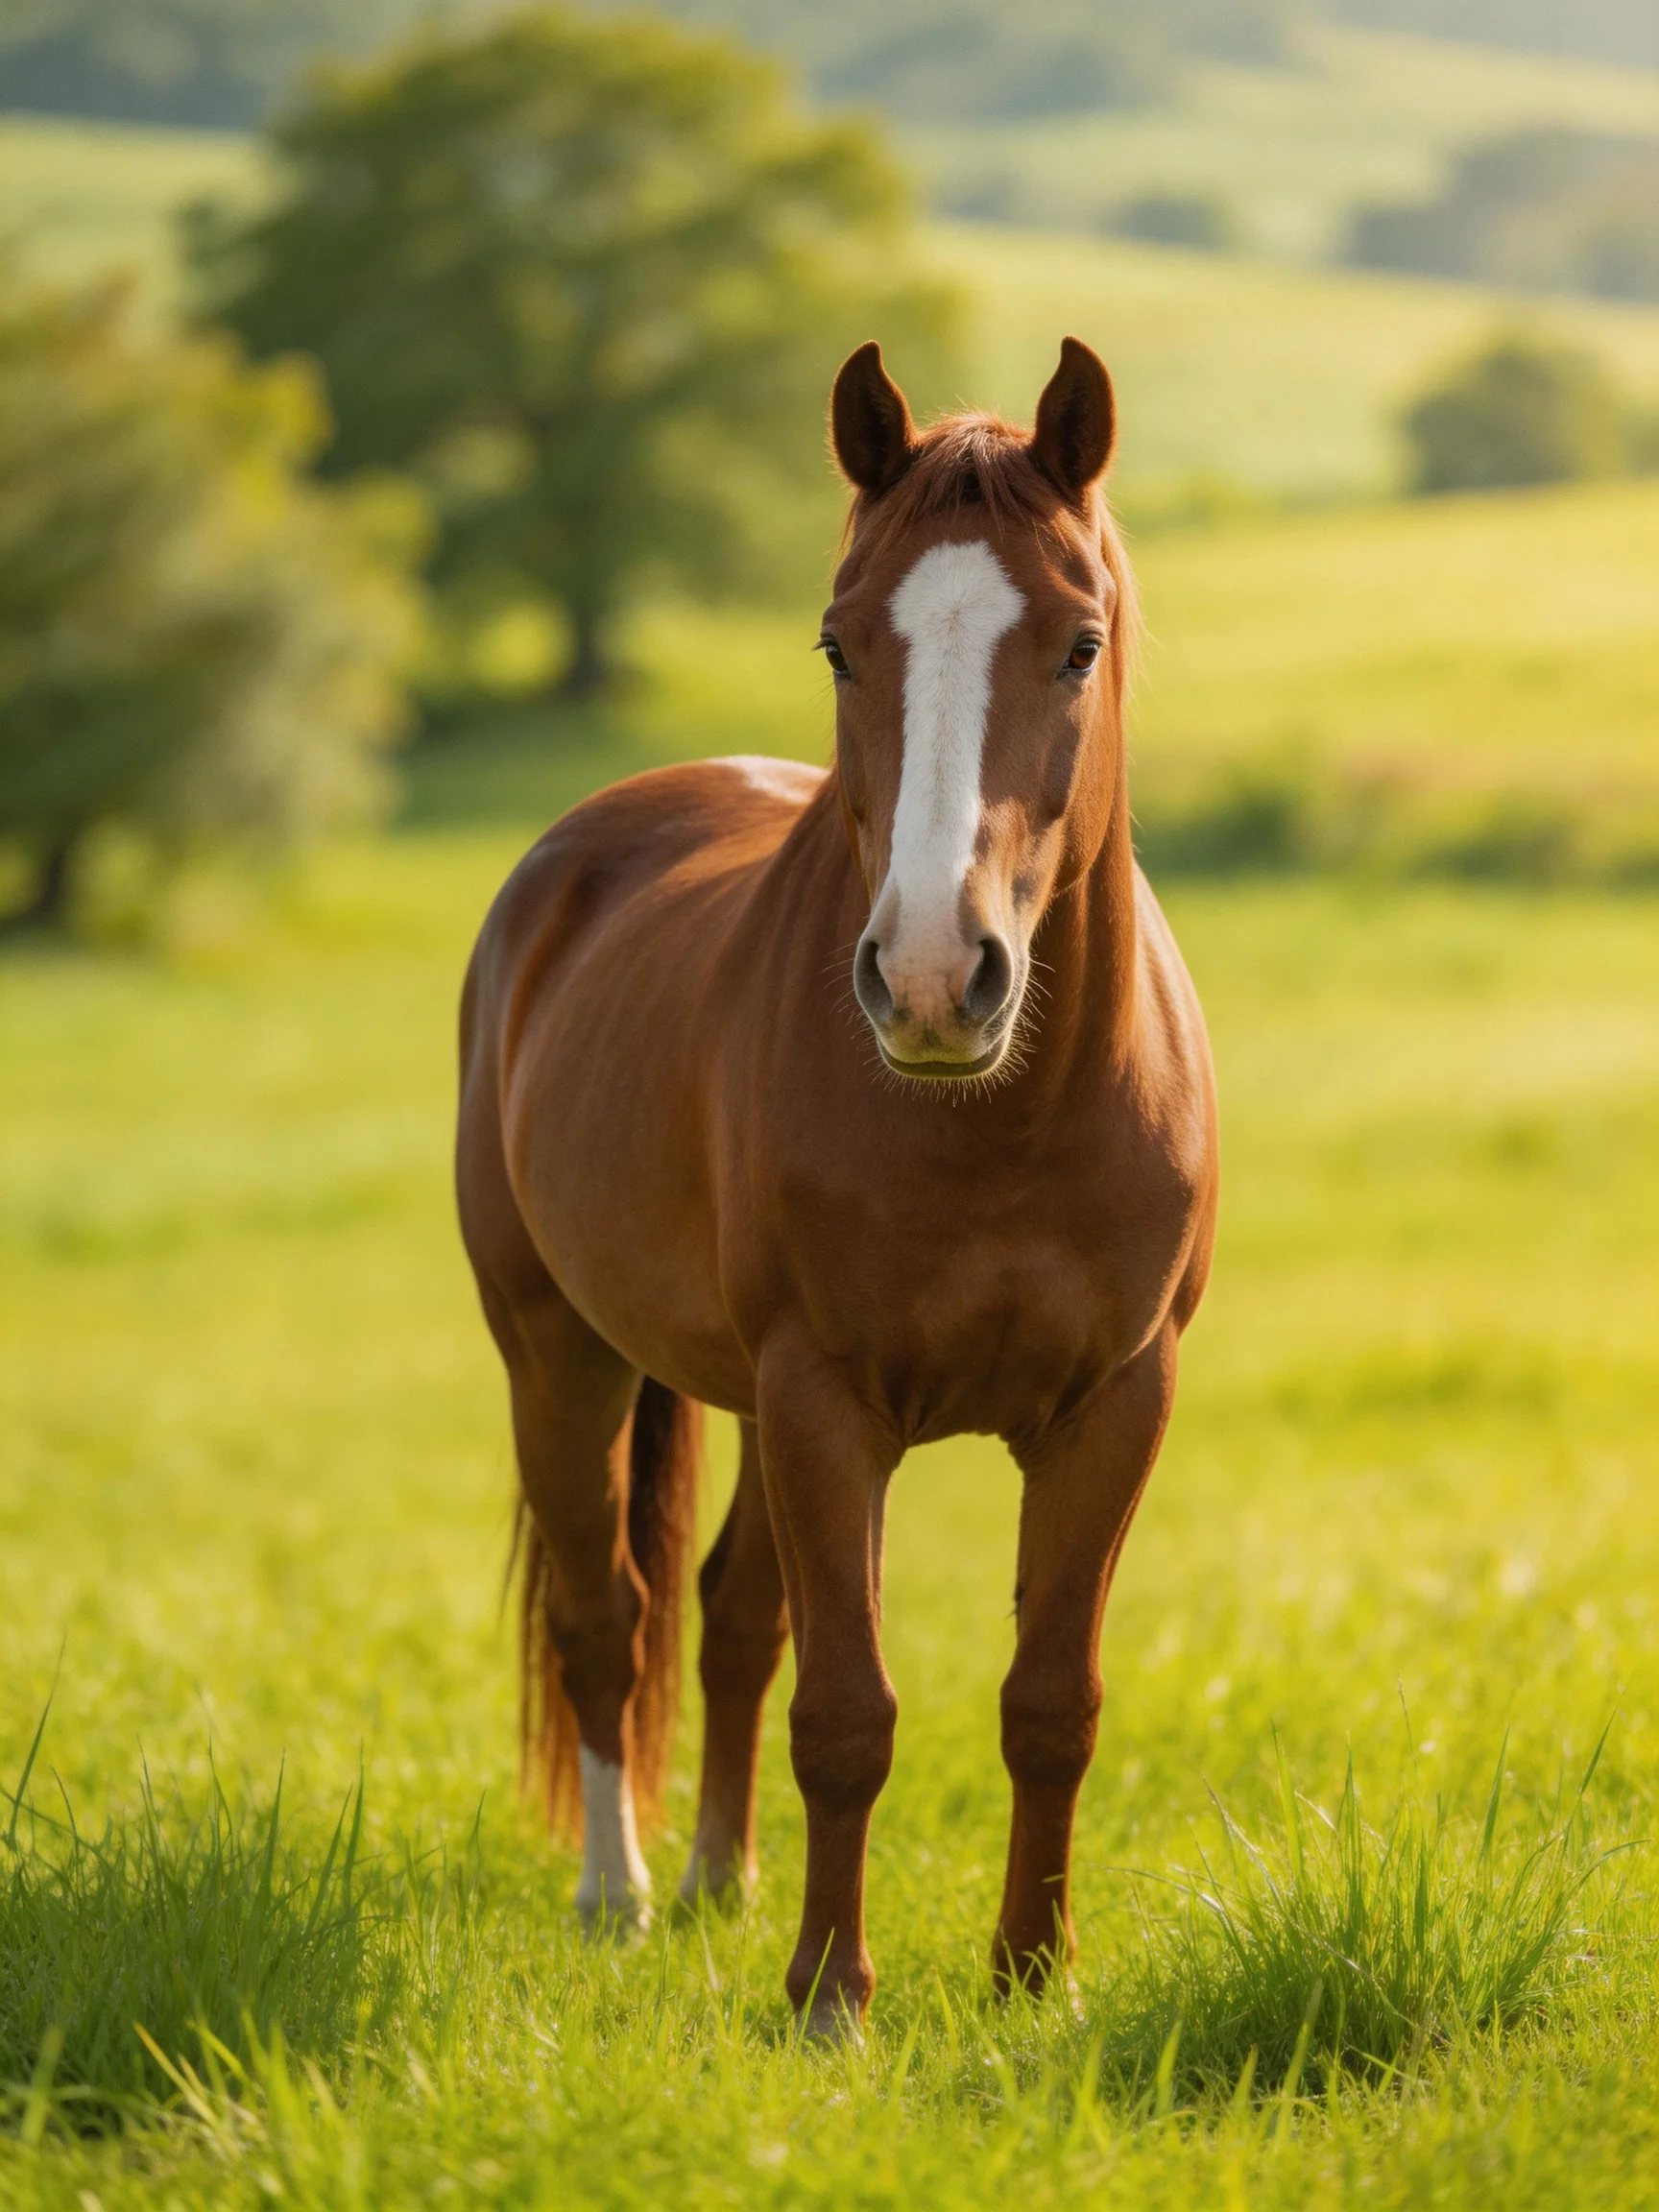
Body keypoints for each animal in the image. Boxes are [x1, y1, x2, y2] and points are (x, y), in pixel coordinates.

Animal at [456, 336, 1218, 2034]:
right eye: (838, 641)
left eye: (1077, 645)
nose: (935, 979)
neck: (1000, 1125)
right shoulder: (824, 1399)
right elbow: (848, 1712)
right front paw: (828, 2000)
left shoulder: (1114, 1403)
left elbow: (1049, 1702)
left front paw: (1031, 1980)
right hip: (557, 1351)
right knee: (608, 1619)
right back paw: (618, 1896)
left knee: (732, 1615)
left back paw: (716, 1880)